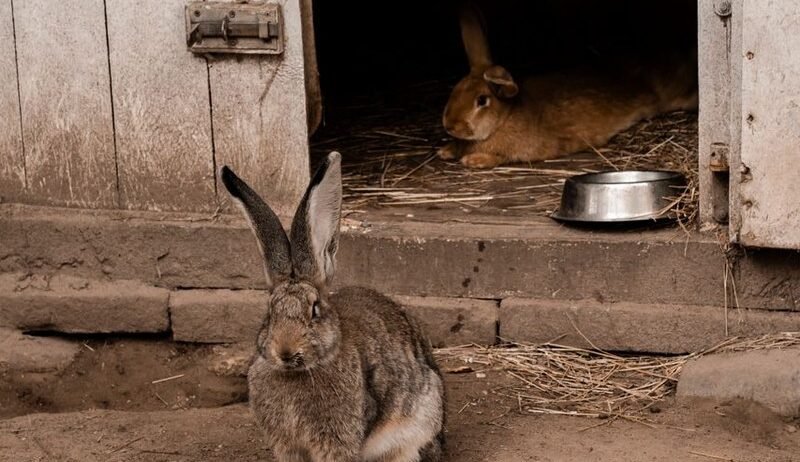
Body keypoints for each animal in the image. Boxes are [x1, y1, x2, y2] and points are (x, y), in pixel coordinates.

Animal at [220, 152, 445, 462]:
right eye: (270, 313)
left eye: (314, 310)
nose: (285, 352)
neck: (301, 372)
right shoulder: (287, 447)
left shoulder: (338, 441)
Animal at [438, 2, 699, 169]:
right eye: (455, 90)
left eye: (481, 100)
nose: (449, 126)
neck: (504, 119)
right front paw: (446, 151)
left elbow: (501, 157)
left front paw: (473, 160)